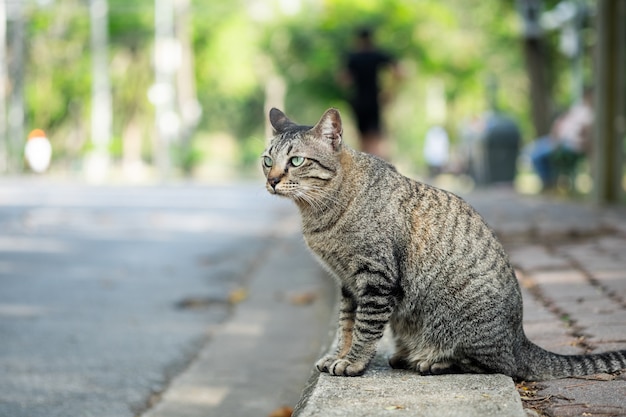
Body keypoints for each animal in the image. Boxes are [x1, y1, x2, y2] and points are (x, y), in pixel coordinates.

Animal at [260, 107, 624, 380]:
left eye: (296, 161)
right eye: (267, 160)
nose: (272, 180)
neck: (319, 213)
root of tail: (520, 340)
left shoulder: (375, 278)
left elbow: (365, 327)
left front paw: (353, 362)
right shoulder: (348, 283)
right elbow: (346, 324)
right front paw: (339, 354)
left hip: (462, 322)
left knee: (495, 366)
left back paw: (431, 360)